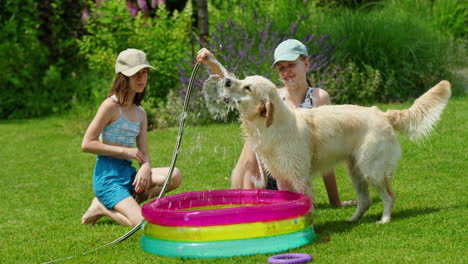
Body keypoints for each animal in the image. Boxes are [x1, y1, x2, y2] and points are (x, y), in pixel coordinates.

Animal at [207, 76, 450, 223]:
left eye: (247, 87)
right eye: (243, 79)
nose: (226, 80)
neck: (271, 126)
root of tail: (382, 113)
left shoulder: (299, 176)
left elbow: (305, 201)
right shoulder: (282, 176)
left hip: (371, 169)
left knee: (389, 196)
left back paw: (384, 219)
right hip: (355, 170)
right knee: (366, 200)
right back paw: (352, 220)